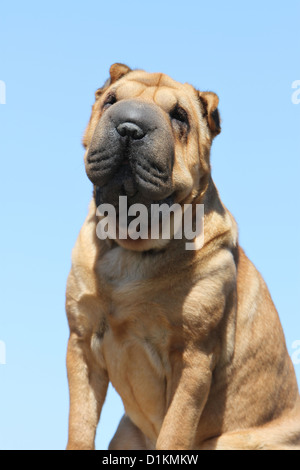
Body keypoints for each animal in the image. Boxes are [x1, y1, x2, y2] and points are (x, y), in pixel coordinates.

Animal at [66, 64, 300, 450]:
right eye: (111, 100)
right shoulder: (82, 343)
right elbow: (80, 428)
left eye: (179, 116)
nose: (130, 126)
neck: (132, 246)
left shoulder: (192, 359)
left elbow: (175, 431)